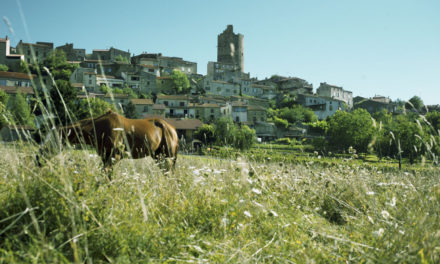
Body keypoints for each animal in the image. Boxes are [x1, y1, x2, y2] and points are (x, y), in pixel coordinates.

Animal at [35, 109, 178, 177]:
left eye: (52, 141)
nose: (38, 159)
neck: (101, 127)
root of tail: (172, 130)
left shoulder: (113, 158)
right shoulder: (105, 158)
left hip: (167, 158)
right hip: (158, 157)